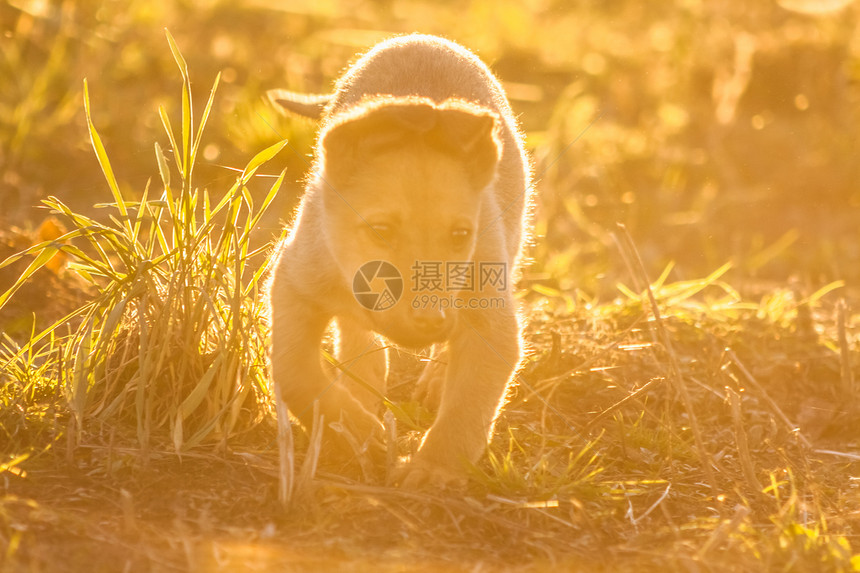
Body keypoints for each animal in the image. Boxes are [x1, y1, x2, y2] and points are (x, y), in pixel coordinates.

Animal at [268, 33, 532, 484]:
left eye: (461, 235)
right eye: (381, 231)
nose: (429, 321)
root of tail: (420, 39)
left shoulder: (493, 320)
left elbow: (469, 406)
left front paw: (434, 468)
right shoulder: (293, 282)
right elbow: (295, 372)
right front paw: (351, 430)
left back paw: (433, 379)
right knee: (354, 331)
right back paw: (363, 378)